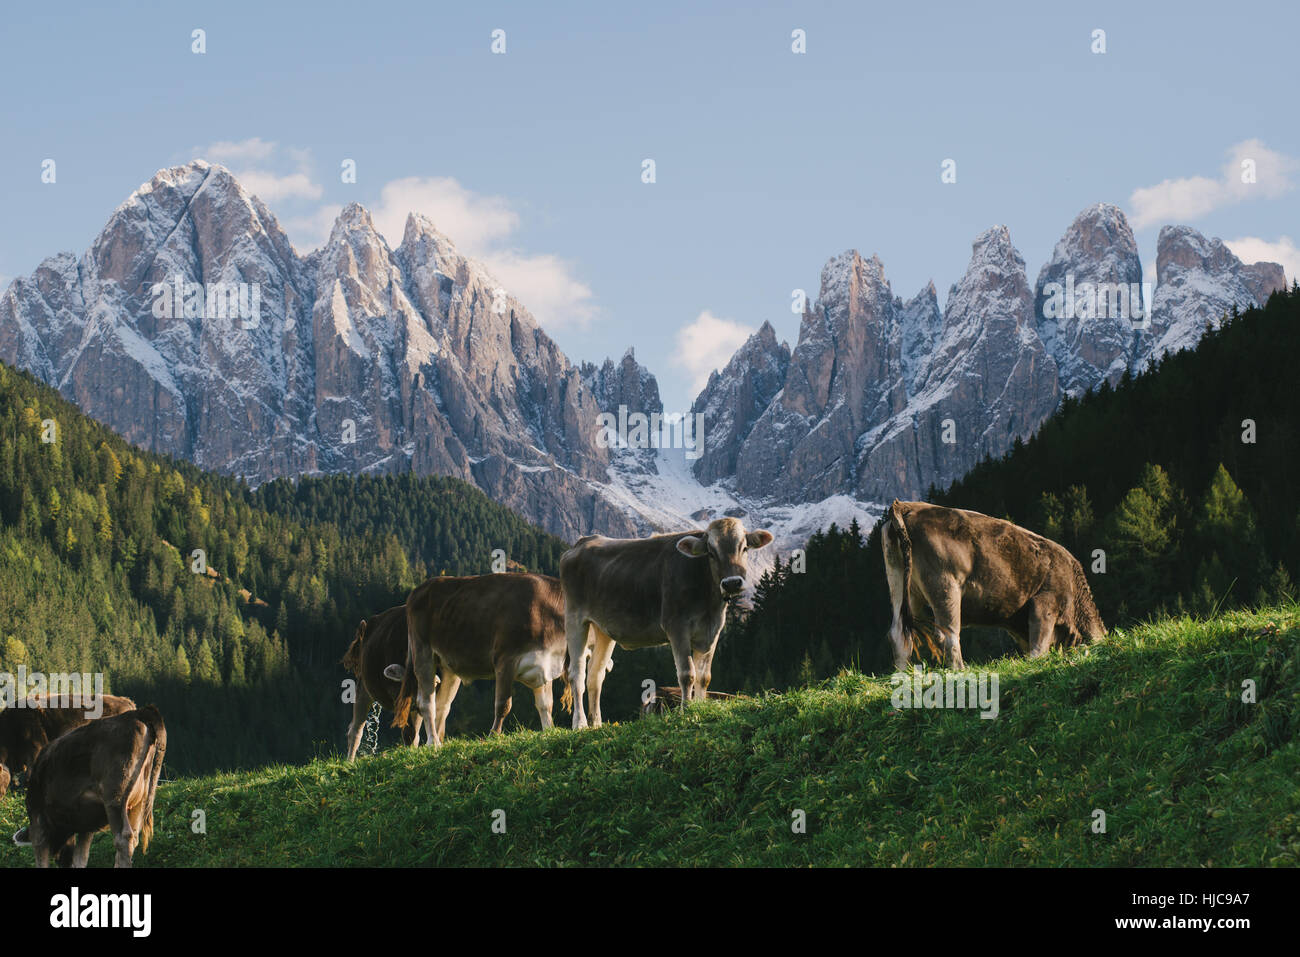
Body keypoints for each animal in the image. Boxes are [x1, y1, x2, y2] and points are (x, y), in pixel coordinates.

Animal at [24, 705, 166, 868]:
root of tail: (138, 712)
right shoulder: (86, 825)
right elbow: (80, 858)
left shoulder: (37, 817)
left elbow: (41, 857)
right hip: (140, 800)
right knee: (134, 836)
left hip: (115, 796)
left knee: (123, 838)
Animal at [391, 573, 572, 747]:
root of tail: (418, 590)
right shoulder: (505, 659)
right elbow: (503, 705)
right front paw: (494, 735)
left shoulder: (543, 665)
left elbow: (546, 705)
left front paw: (549, 731)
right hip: (422, 653)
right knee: (426, 703)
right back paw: (433, 743)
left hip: (447, 667)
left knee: (441, 705)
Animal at [560, 517, 774, 729]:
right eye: (711, 552)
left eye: (744, 548)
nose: (731, 583)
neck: (707, 601)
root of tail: (582, 542)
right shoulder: (676, 626)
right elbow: (687, 674)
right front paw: (686, 712)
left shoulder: (711, 632)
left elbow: (704, 677)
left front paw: (701, 708)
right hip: (575, 619)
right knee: (577, 674)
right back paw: (580, 724)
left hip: (603, 629)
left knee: (595, 675)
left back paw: (597, 724)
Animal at [882, 500, 1106, 670]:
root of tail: (907, 505)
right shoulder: (1045, 602)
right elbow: (1039, 645)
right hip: (944, 584)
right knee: (947, 633)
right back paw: (959, 670)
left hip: (901, 585)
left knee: (898, 633)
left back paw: (903, 675)